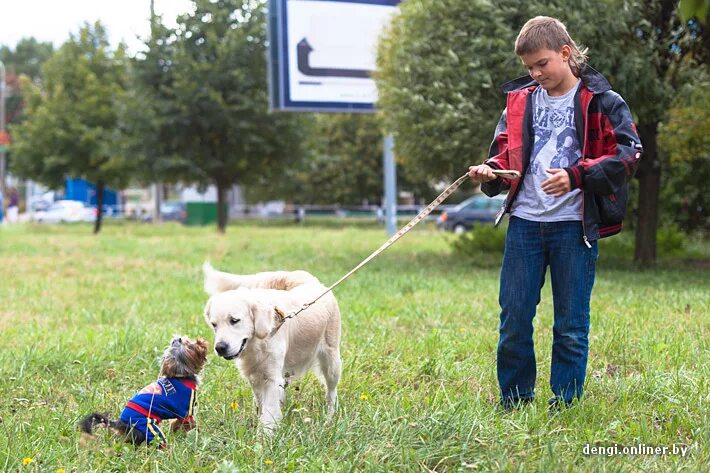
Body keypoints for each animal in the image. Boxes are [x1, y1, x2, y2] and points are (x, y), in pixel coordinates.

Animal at [80, 334, 210, 448]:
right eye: (190, 346)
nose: (177, 339)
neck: (180, 375)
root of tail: (120, 423)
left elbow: (175, 423)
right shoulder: (185, 412)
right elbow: (190, 423)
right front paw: (196, 432)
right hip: (148, 429)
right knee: (157, 440)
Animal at [202, 264, 344, 430]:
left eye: (234, 320)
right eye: (214, 325)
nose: (220, 348)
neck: (257, 342)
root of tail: (310, 281)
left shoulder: (271, 377)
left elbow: (269, 410)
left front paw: (266, 433)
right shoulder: (255, 376)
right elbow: (262, 403)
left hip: (332, 361)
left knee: (331, 391)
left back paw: (330, 417)